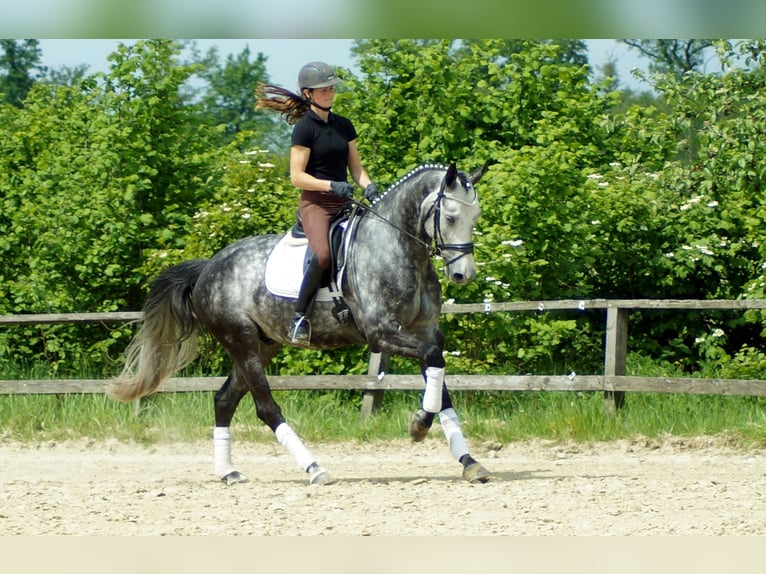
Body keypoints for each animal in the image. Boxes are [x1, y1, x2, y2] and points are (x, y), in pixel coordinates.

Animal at [109, 162, 492, 486]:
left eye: (475, 216)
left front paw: (469, 462)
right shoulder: (382, 334)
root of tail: (207, 269)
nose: (463, 275)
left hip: (262, 344)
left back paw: (229, 472)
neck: (397, 247)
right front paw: (418, 426)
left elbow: (439, 379)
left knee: (224, 400)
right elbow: (433, 361)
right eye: (452, 216)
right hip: (240, 340)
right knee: (265, 407)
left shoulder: (425, 330)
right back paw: (314, 468)